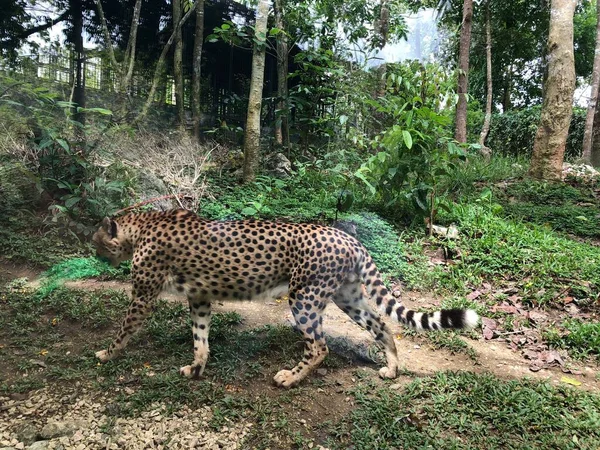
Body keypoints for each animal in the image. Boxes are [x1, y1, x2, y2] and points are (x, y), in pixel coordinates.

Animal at [92, 209, 478, 388]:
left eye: (97, 241)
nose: (94, 254)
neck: (141, 225)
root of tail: (346, 236)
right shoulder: (200, 297)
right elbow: (200, 338)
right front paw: (197, 367)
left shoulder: (143, 296)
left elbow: (123, 329)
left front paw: (106, 354)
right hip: (347, 297)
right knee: (381, 325)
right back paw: (392, 368)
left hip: (303, 299)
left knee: (319, 347)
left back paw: (291, 378)